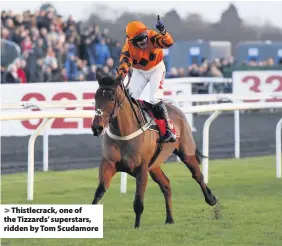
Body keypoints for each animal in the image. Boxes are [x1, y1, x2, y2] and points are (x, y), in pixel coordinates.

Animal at [91, 72, 217, 228]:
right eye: (96, 97)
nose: (97, 127)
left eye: (112, 98)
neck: (124, 133)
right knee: (166, 184)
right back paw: (169, 219)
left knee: (197, 175)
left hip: (186, 152)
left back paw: (211, 199)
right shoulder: (108, 164)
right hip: (155, 165)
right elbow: (98, 193)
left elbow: (138, 202)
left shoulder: (142, 168)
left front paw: (137, 227)